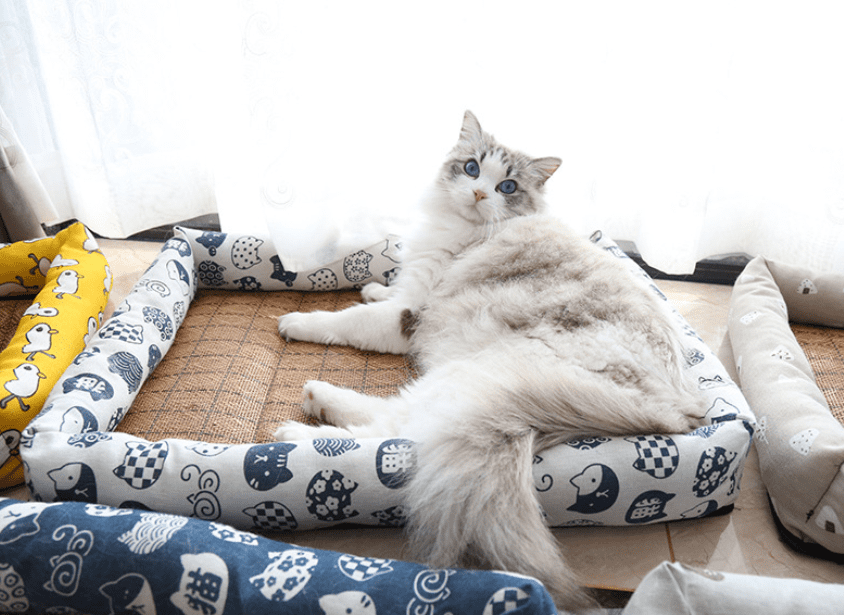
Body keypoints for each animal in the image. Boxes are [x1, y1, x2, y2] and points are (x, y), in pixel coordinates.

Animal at [276, 112, 704, 612]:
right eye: (472, 169)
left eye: (508, 187)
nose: (480, 194)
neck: (460, 231)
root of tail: (671, 410)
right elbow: (383, 293)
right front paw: (373, 287)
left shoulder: (409, 316)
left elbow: (346, 320)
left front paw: (295, 321)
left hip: (477, 373)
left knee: (397, 433)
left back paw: (300, 425)